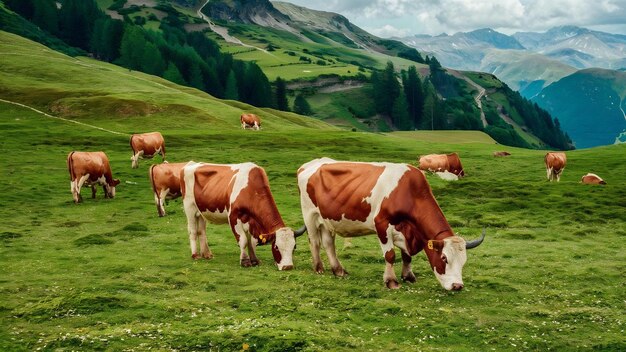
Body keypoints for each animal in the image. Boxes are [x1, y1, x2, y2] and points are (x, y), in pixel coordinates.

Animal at [296, 158, 482, 290]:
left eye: (464, 261)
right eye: (444, 258)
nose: (457, 286)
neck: (410, 194)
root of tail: (308, 164)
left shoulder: (407, 231)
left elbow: (407, 256)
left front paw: (408, 276)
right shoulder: (382, 224)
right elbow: (390, 255)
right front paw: (391, 281)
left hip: (327, 220)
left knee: (328, 243)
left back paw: (338, 270)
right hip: (309, 214)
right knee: (314, 241)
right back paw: (318, 268)